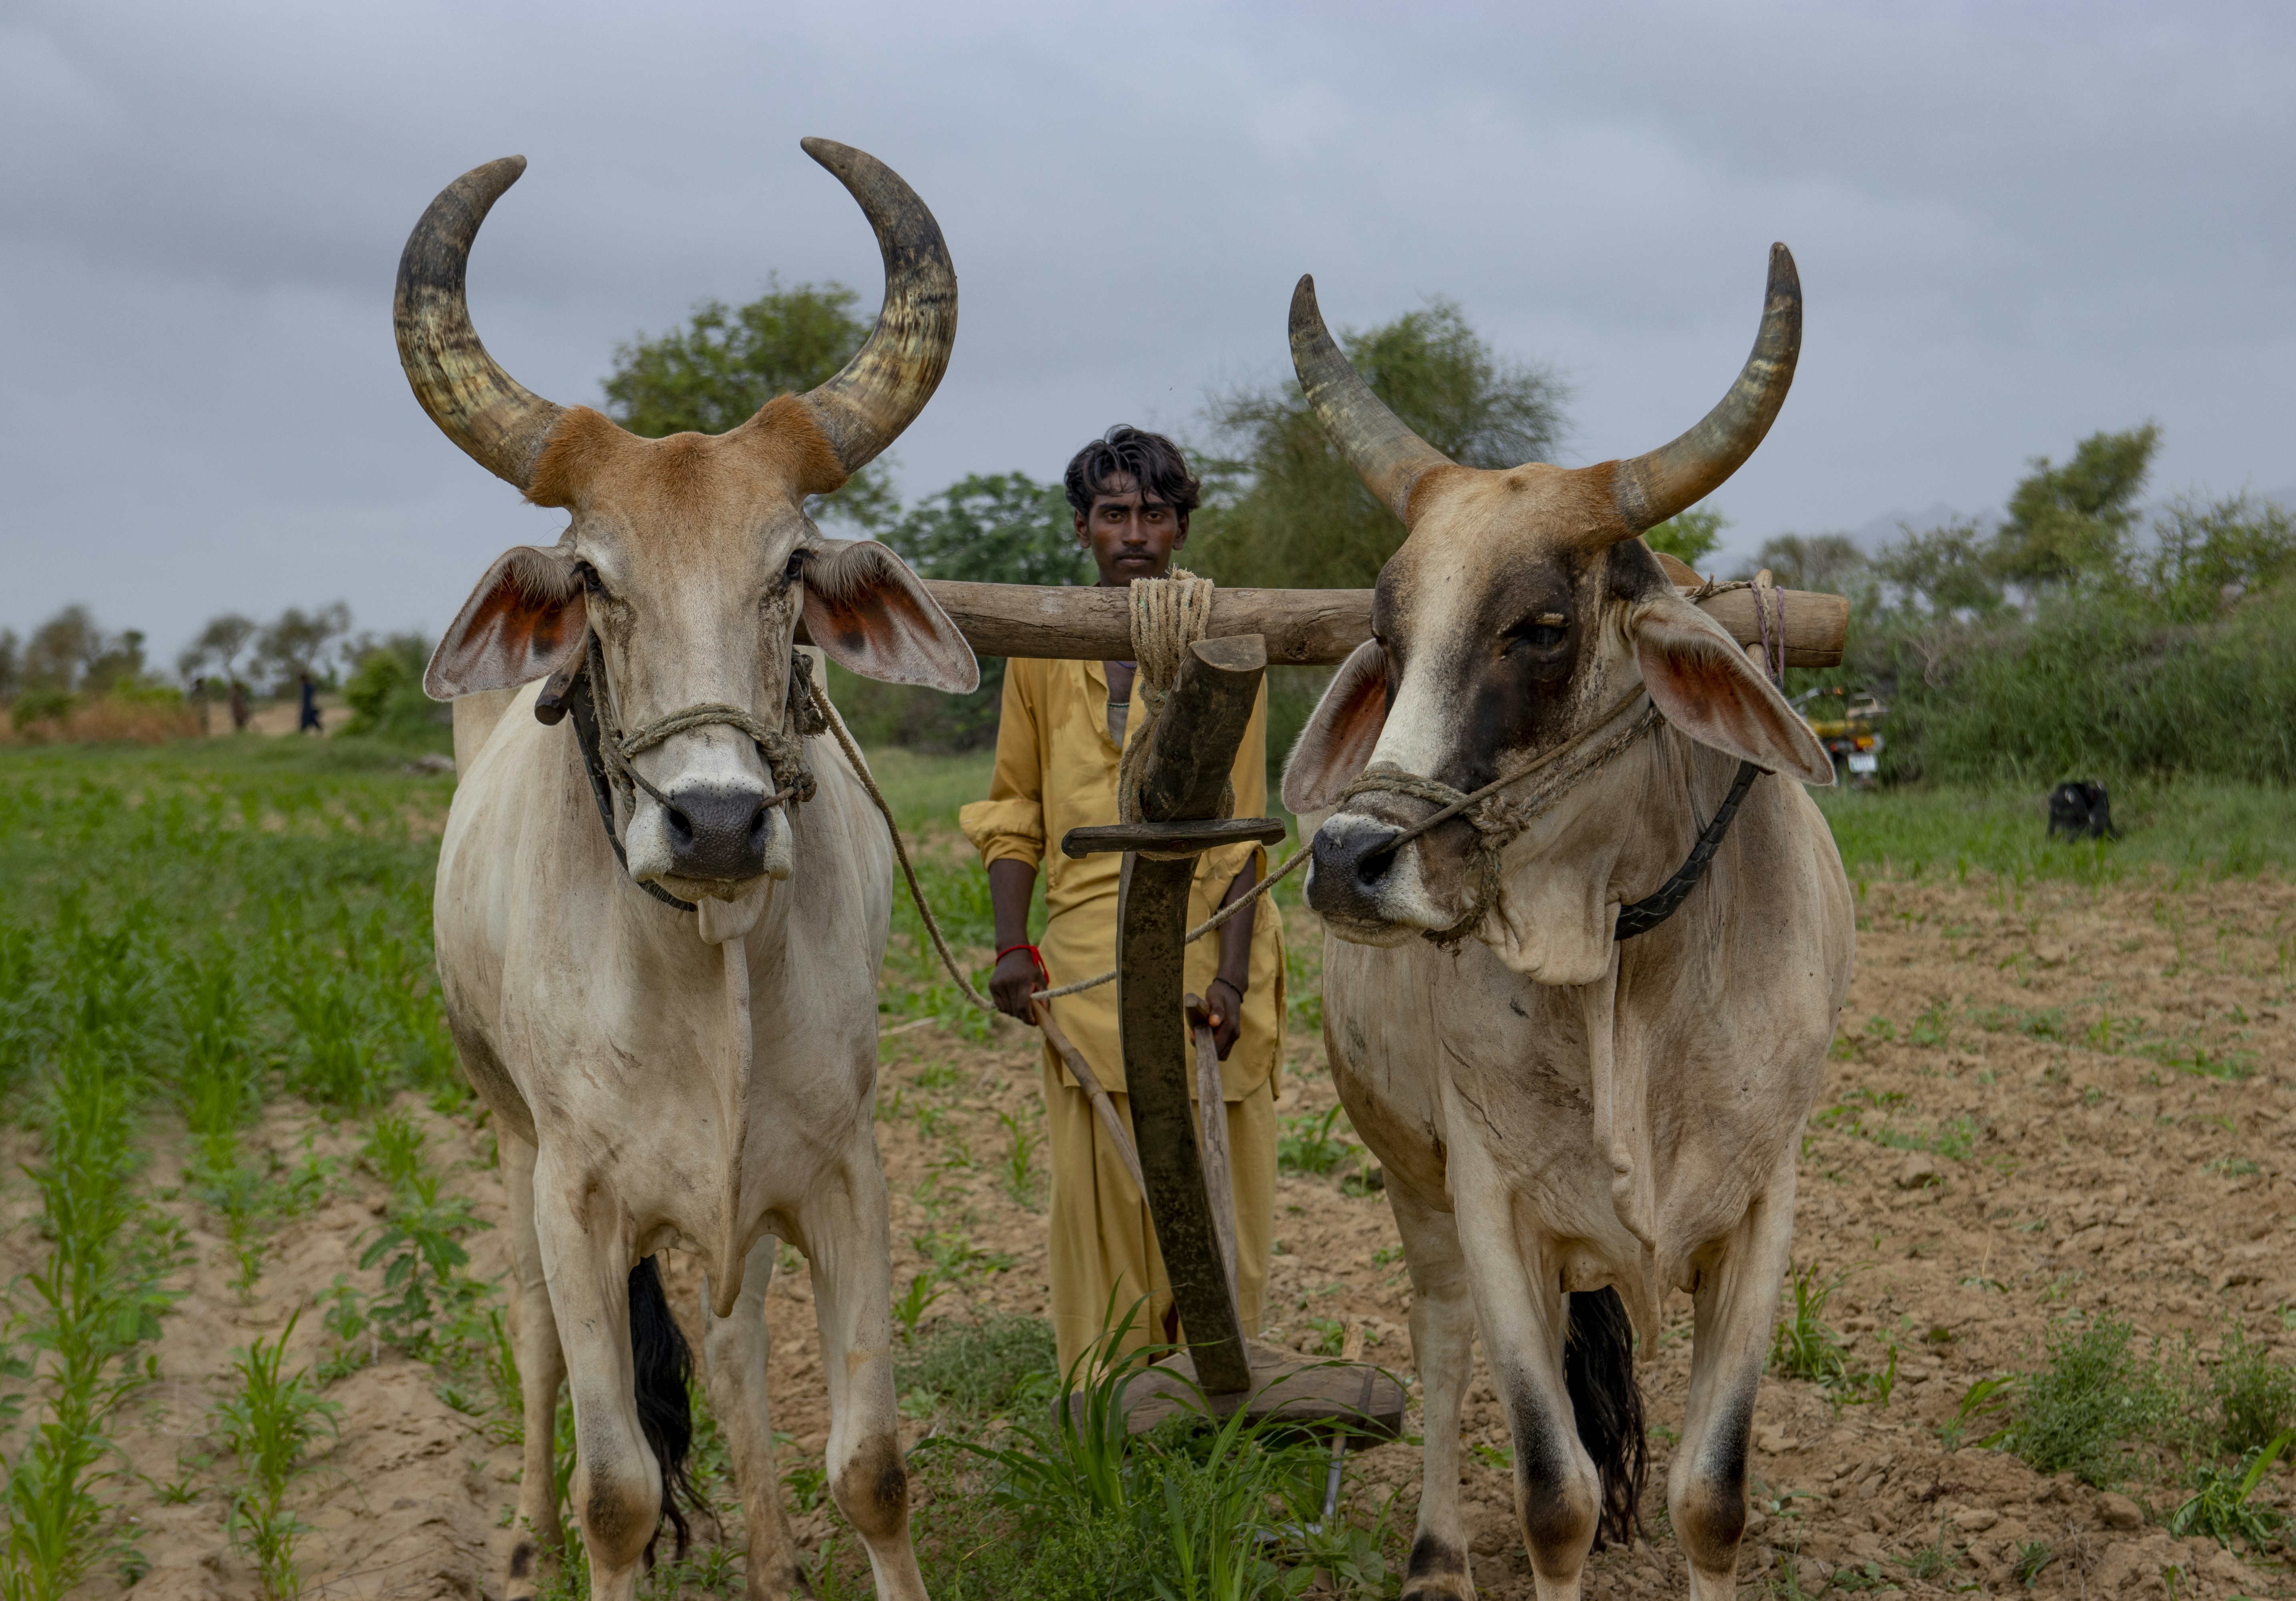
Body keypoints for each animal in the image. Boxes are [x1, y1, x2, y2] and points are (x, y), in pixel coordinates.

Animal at [397, 142, 976, 1601]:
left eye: (789, 569)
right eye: (595, 579)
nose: (715, 824)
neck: (703, 959)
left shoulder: (840, 1175)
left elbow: (871, 1468)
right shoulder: (576, 1197)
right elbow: (615, 1487)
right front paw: (580, 1532)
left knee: (725, 1347)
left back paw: (767, 1561)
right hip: (505, 1140)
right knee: (535, 1340)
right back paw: (519, 1536)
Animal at [1278, 248, 1854, 1601]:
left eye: (1539, 625)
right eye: (1385, 632)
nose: (1347, 858)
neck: (1621, 973)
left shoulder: (1765, 1204)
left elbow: (1710, 1496)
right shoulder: (1495, 1205)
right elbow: (1556, 1495)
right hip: (1414, 1179)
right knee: (1439, 1341)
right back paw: (1436, 1552)